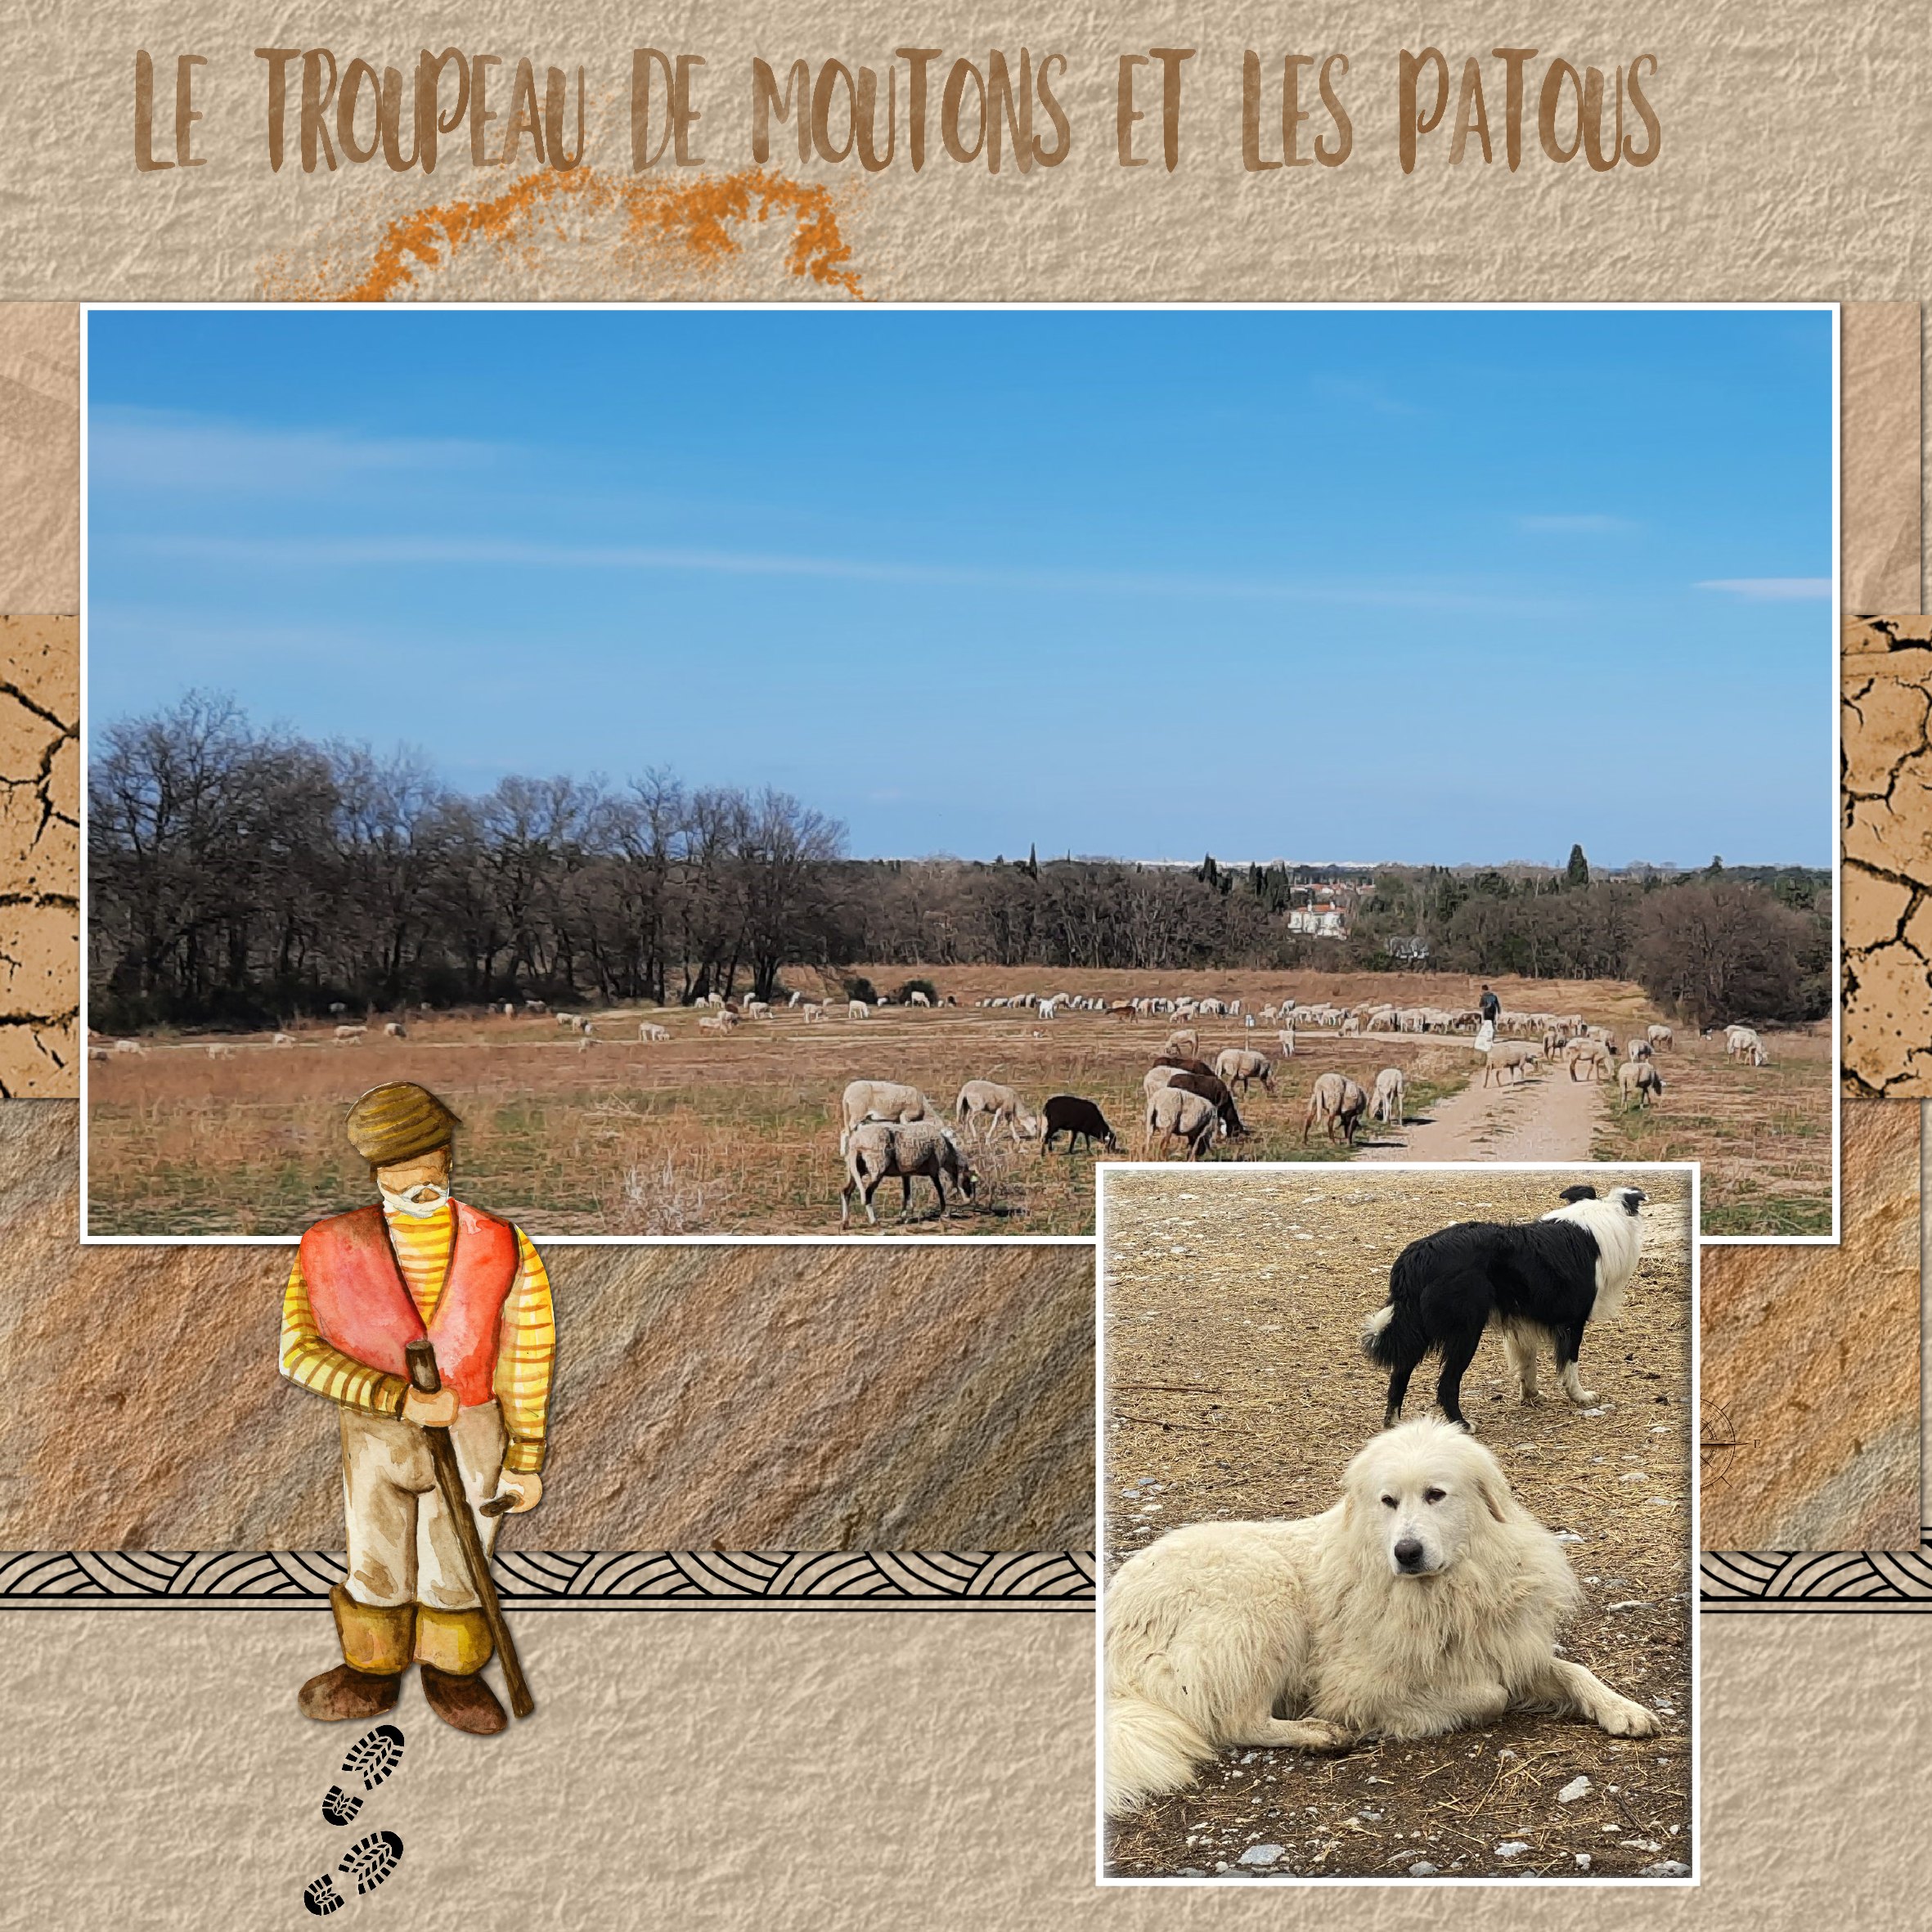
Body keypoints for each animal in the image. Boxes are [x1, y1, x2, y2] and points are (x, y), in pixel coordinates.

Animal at [839, 1120, 976, 1227]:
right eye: (967, 1179)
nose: (969, 1200)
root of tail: (856, 1142)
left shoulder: (906, 1173)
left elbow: (907, 1193)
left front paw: (904, 1216)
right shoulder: (934, 1169)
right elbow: (940, 1191)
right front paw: (944, 1213)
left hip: (856, 1169)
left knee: (846, 1191)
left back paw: (845, 1223)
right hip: (877, 1166)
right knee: (867, 1193)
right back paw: (874, 1222)